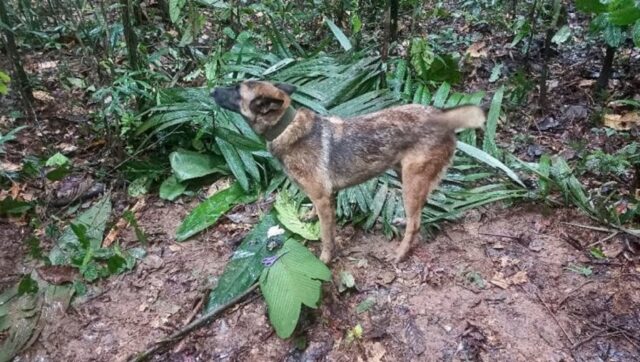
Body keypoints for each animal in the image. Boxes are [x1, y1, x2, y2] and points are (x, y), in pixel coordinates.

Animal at [211, 80, 484, 264]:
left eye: (236, 90)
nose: (211, 90)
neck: (285, 127)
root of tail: (443, 117)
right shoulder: (324, 197)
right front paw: (309, 217)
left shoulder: (323, 198)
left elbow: (326, 235)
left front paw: (325, 258)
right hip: (403, 175)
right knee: (417, 211)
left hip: (411, 180)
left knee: (416, 222)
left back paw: (400, 253)